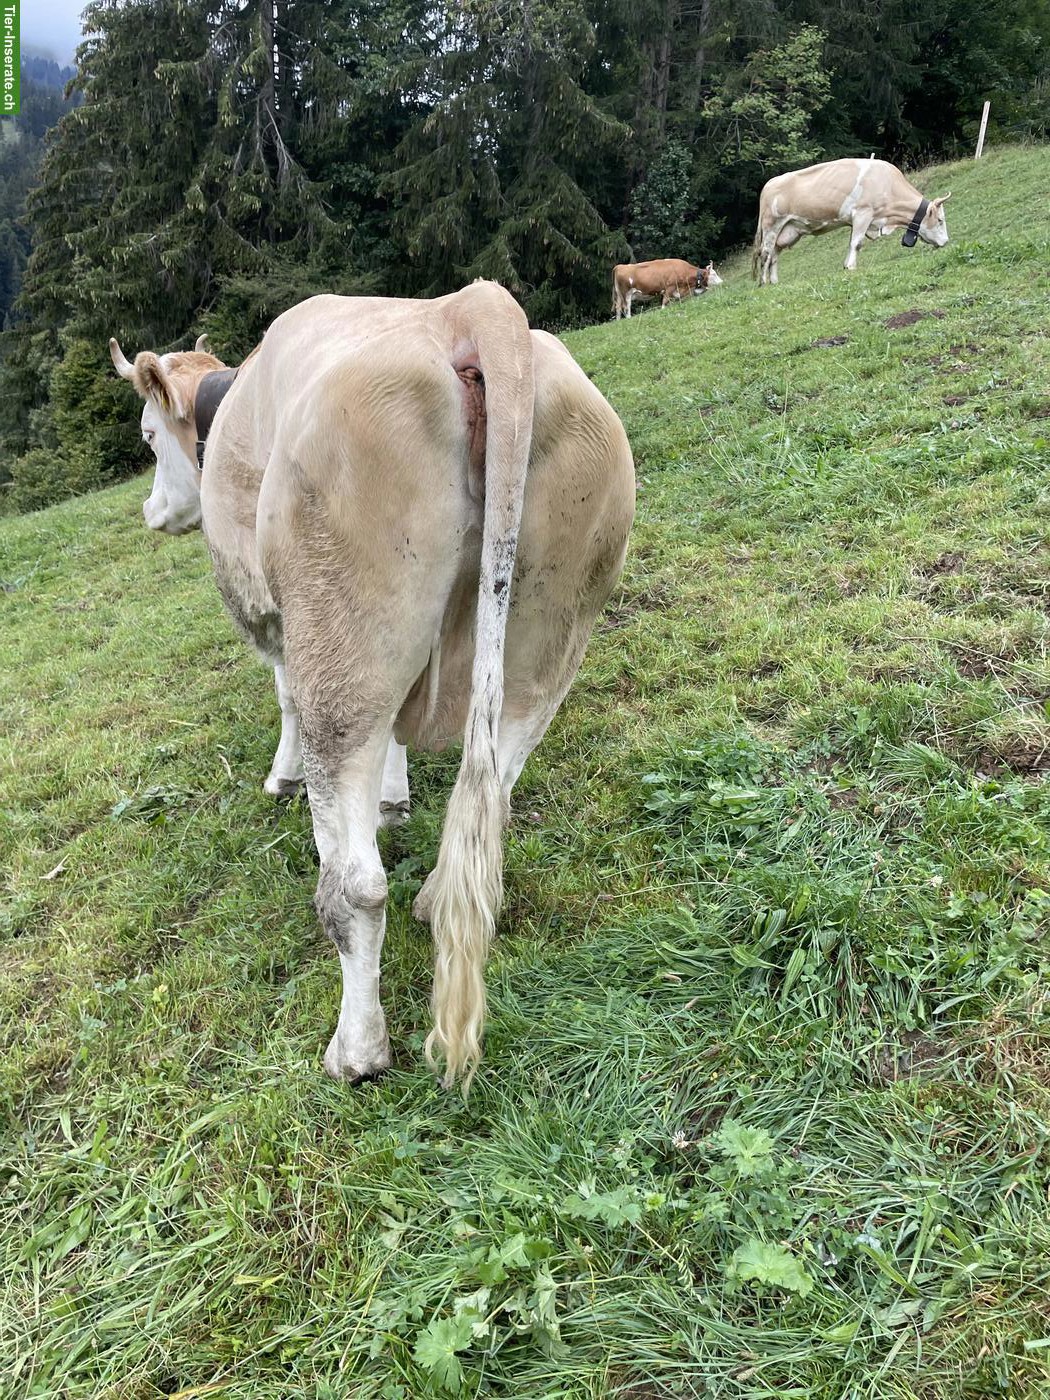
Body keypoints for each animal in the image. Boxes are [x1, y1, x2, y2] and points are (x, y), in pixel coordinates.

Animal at [110, 281, 635, 1089]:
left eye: (145, 436)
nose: (150, 513)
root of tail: (476, 307)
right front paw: (393, 796)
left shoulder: (272, 615)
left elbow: (284, 698)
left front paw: (283, 778)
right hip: (548, 644)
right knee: (484, 814)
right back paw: (432, 896)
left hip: (342, 640)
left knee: (355, 885)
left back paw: (357, 1050)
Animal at [752, 157, 951, 285]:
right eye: (940, 220)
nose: (946, 241)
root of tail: (769, 184)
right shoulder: (863, 213)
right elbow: (857, 243)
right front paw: (852, 267)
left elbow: (851, 243)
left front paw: (846, 265)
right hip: (771, 225)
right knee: (765, 253)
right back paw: (764, 282)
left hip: (787, 230)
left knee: (774, 255)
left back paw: (775, 281)